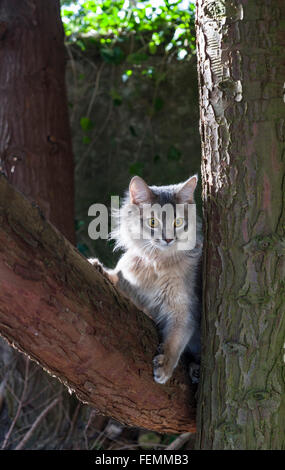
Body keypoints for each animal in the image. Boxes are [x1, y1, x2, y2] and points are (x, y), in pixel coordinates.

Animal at [89, 174, 202, 384]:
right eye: (153, 222)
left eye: (177, 222)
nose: (168, 239)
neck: (157, 263)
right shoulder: (135, 295)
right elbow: (116, 278)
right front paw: (98, 267)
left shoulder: (184, 310)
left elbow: (175, 340)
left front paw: (164, 367)